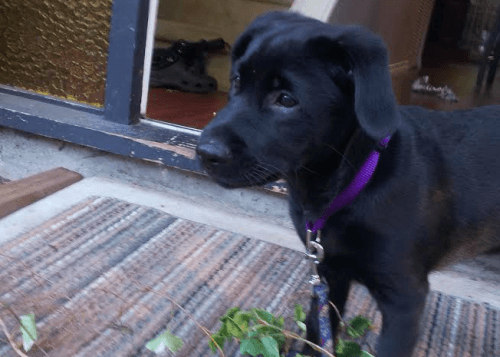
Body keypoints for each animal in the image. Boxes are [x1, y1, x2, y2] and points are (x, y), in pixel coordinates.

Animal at [195, 11, 500, 356]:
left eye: (286, 99)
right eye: (236, 81)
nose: (204, 152)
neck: (349, 187)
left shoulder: (404, 298)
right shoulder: (328, 275)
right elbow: (317, 333)